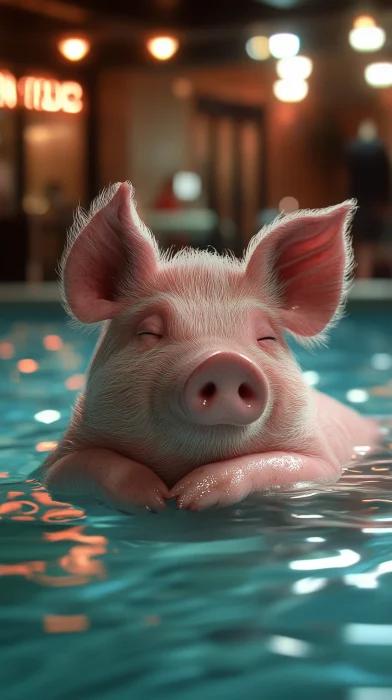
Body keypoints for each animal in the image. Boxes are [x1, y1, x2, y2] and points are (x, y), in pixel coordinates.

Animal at [37, 183, 380, 512]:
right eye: (149, 332)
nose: (225, 360)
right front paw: (156, 498)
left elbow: (285, 465)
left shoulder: (321, 462)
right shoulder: (59, 462)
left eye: (266, 338)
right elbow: (88, 465)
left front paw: (190, 496)